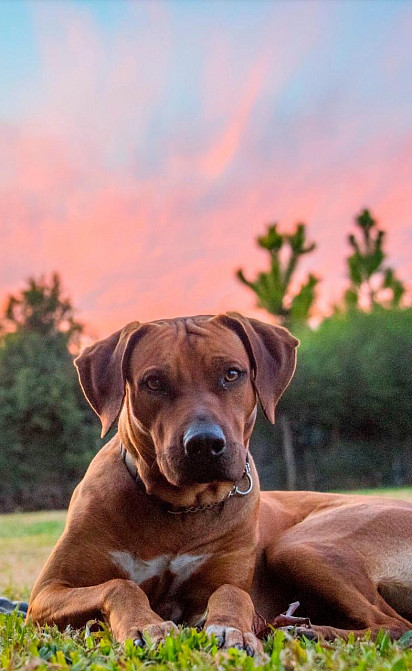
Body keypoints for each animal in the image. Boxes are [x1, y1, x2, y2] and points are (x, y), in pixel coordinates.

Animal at [28, 316, 412, 656]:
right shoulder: (45, 594)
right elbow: (119, 585)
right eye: (154, 382)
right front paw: (145, 626)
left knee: (393, 625)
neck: (180, 509)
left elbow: (232, 593)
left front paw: (233, 630)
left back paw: (307, 632)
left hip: (302, 544)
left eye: (231, 374)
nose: (203, 443)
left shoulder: (216, 589)